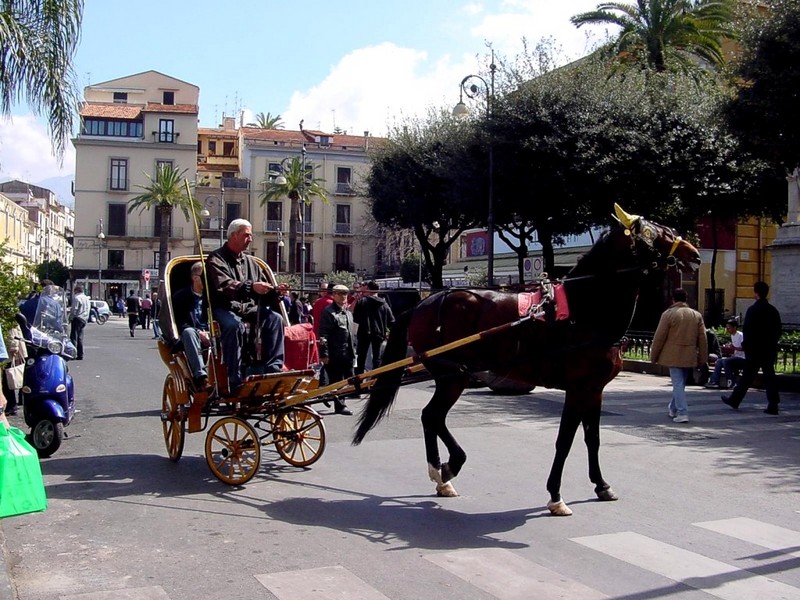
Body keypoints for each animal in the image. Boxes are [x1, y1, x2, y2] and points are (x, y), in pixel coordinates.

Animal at [354, 205, 700, 516]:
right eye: (654, 232)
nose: (695, 252)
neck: (583, 310)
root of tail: (423, 303)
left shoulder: (594, 390)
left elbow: (593, 438)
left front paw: (601, 485)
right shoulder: (577, 388)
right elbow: (565, 441)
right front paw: (556, 496)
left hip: (451, 375)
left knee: (431, 417)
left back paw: (443, 474)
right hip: (453, 375)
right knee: (432, 416)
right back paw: (448, 466)